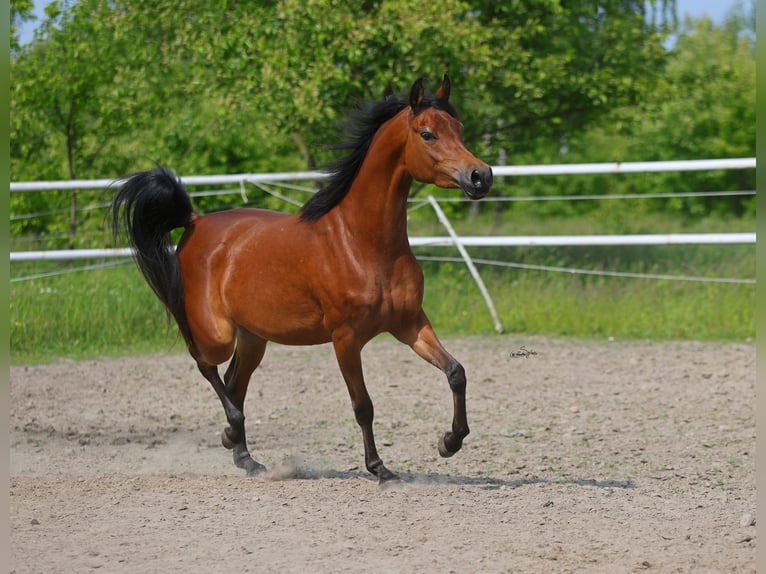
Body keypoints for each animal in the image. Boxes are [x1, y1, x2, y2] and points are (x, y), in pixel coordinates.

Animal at [110, 75, 493, 484]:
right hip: (217, 334)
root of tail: (194, 222)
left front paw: (449, 442)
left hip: (253, 338)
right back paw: (233, 429)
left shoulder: (410, 324)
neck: (362, 243)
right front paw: (380, 468)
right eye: (427, 134)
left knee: (234, 383)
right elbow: (363, 405)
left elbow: (456, 372)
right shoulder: (345, 339)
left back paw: (244, 455)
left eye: (460, 129)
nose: (481, 176)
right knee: (207, 367)